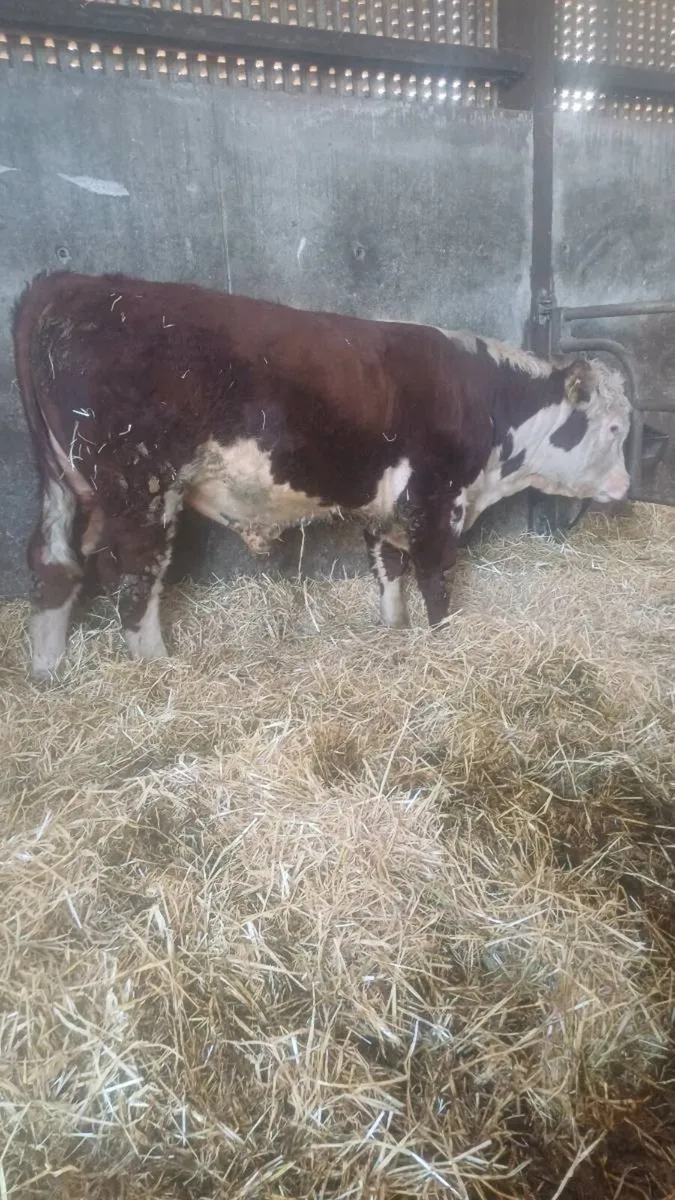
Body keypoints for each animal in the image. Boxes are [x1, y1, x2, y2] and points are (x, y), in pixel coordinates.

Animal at [13, 271, 631, 680]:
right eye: (617, 428)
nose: (626, 488)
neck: (489, 402)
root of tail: (69, 282)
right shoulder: (436, 499)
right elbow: (434, 580)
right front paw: (441, 642)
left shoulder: (388, 503)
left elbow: (388, 571)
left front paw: (393, 631)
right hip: (141, 488)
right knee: (135, 585)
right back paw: (160, 673)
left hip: (64, 483)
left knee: (54, 567)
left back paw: (48, 675)